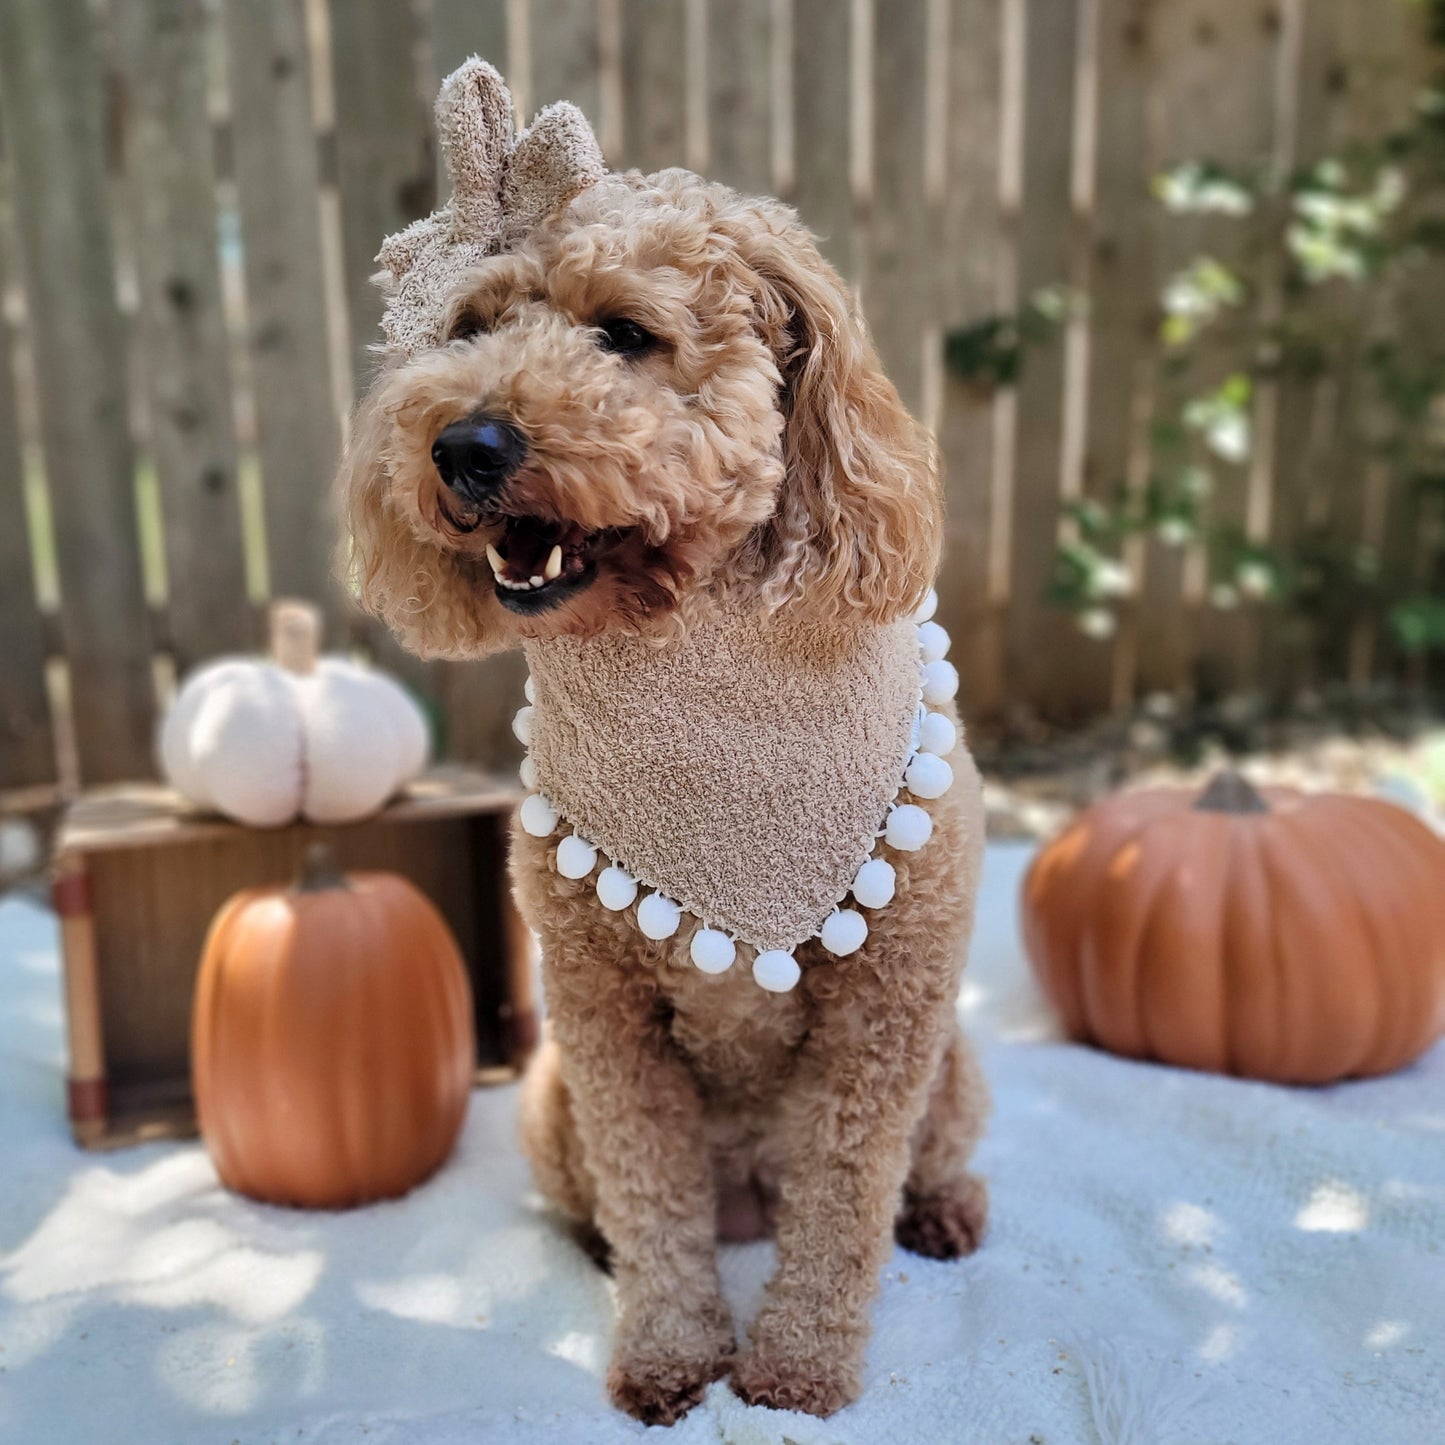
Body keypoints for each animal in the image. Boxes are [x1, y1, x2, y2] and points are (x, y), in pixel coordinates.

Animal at [341, 59, 994, 1421]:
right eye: (468, 327)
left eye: (625, 334)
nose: (461, 443)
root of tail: (747, 1196)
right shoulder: (601, 1019)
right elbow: (650, 1198)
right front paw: (671, 1356)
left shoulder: (885, 1015)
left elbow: (843, 1207)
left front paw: (793, 1373)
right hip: (547, 1101)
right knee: (607, 1201)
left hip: (952, 1062)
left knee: (928, 1164)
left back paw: (944, 1212)